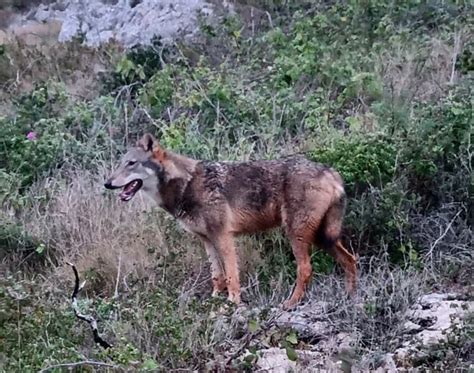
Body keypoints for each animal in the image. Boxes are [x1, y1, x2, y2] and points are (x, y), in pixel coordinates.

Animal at [103, 133, 356, 308]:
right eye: (121, 163)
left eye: (131, 163)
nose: (107, 183)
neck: (185, 186)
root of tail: (331, 172)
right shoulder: (206, 240)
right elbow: (217, 276)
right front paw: (214, 300)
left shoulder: (223, 236)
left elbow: (232, 274)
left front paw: (233, 302)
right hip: (323, 238)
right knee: (350, 260)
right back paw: (349, 297)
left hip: (298, 235)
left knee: (305, 269)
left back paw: (291, 303)